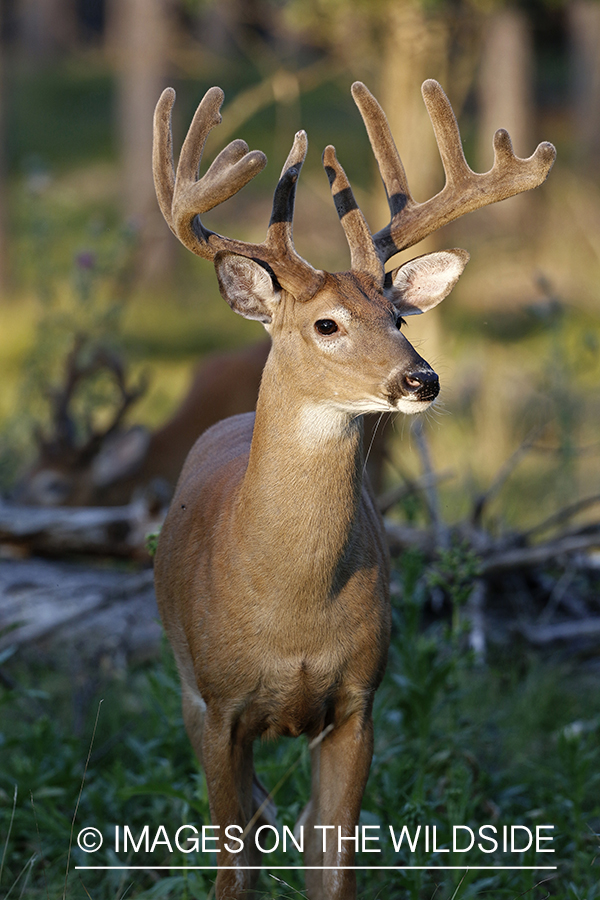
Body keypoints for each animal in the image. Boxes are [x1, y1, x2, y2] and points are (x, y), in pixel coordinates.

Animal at [151, 79, 552, 900]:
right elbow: (234, 867)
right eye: (327, 324)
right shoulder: (215, 702)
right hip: (181, 683)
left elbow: (331, 865)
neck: (289, 607)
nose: (421, 379)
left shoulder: (358, 700)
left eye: (398, 315)